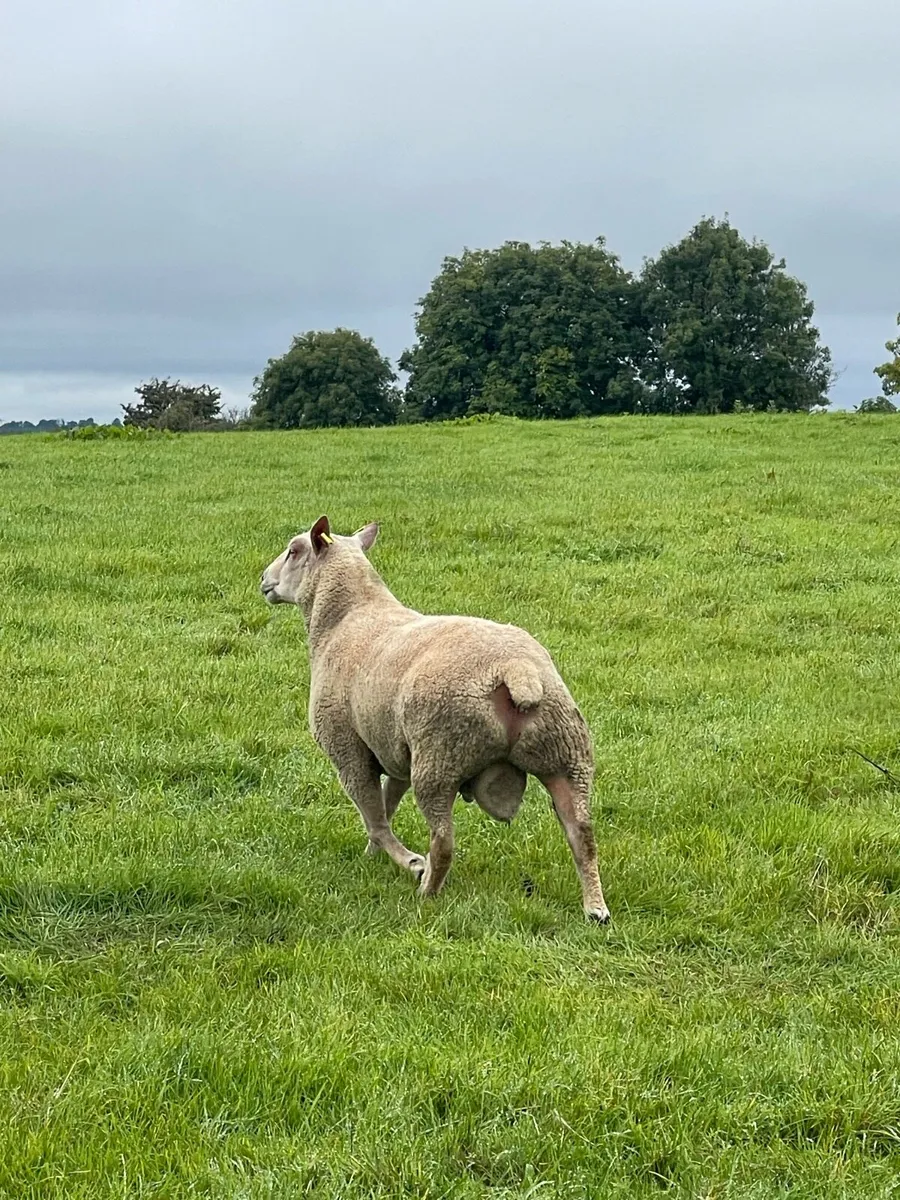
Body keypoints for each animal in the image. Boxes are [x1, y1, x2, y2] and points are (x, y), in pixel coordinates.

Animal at [260, 515, 610, 922]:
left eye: (293, 550)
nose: (264, 580)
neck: (345, 617)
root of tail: (518, 670)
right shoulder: (395, 752)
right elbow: (385, 809)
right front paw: (372, 856)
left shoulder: (349, 751)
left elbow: (375, 819)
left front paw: (410, 862)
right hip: (567, 755)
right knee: (582, 835)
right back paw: (596, 908)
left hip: (440, 758)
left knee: (443, 843)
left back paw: (427, 890)